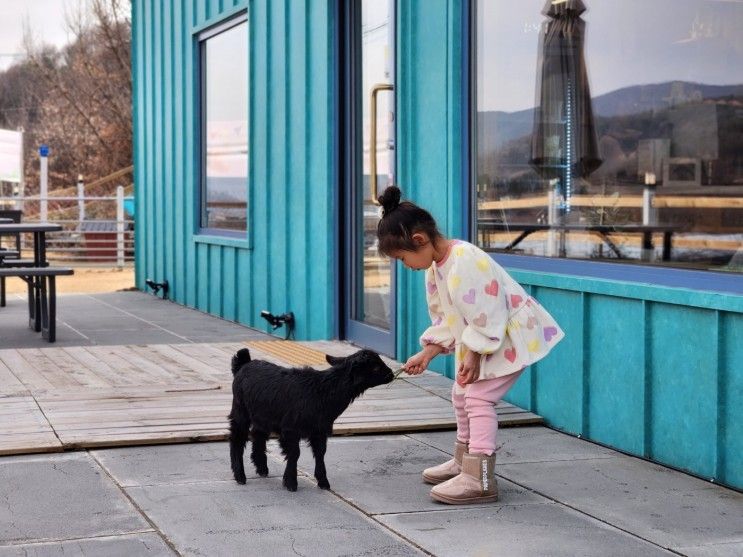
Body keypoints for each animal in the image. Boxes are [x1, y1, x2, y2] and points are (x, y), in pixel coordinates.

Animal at [230, 348, 396, 490]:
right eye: (375, 368)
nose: (391, 374)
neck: (323, 391)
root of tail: (243, 364)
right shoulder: (290, 429)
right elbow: (295, 453)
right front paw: (291, 482)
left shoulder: (320, 430)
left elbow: (320, 453)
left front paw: (323, 482)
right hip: (240, 409)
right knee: (237, 438)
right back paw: (240, 476)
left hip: (263, 415)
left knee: (258, 435)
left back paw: (262, 468)